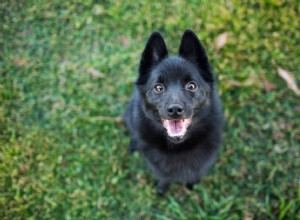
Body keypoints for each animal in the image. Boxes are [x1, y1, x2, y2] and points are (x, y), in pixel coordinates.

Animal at [122, 29, 223, 194]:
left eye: (191, 86)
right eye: (158, 87)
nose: (175, 110)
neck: (178, 147)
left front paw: (191, 185)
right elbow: (164, 177)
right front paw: (162, 189)